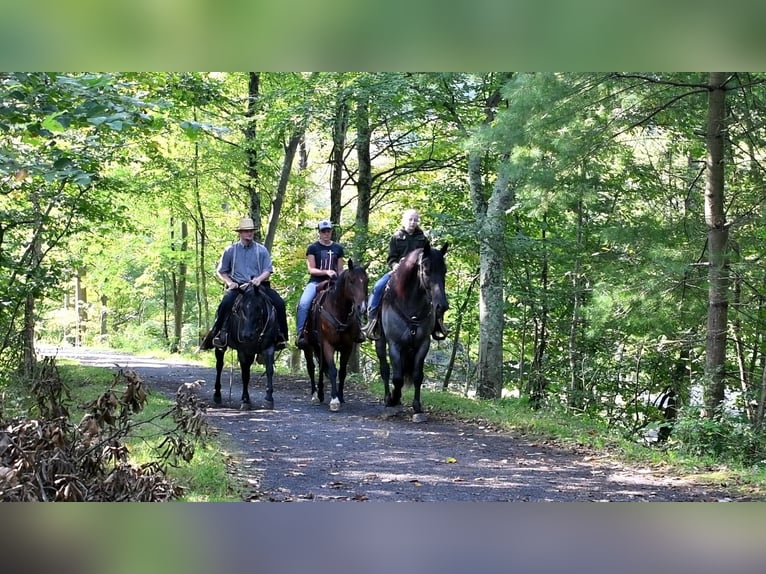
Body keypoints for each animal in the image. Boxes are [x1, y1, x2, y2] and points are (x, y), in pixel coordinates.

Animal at [304, 260, 368, 414]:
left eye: (366, 281)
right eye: (351, 281)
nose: (362, 308)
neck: (338, 310)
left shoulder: (347, 347)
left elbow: (342, 372)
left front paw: (341, 397)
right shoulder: (328, 344)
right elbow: (333, 370)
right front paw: (334, 400)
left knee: (321, 367)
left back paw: (321, 394)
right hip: (308, 346)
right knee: (311, 368)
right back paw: (315, 395)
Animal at [374, 243, 448, 424]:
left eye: (445, 270)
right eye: (426, 270)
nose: (442, 306)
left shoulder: (423, 344)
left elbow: (417, 375)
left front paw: (417, 407)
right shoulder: (394, 344)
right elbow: (397, 378)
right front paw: (394, 400)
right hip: (380, 342)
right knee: (385, 369)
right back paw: (388, 398)